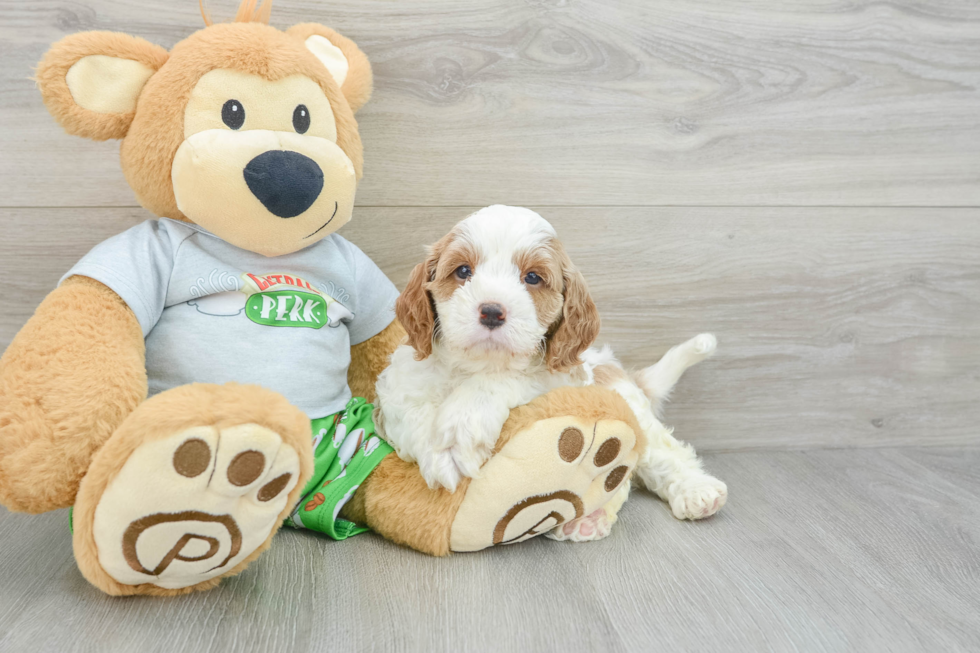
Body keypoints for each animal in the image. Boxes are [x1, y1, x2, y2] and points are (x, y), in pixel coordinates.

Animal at [376, 205, 728, 540]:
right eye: (463, 271)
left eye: (532, 278)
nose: (491, 311)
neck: (477, 364)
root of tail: (621, 372)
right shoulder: (398, 390)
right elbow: (411, 414)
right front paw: (441, 452)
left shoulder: (559, 378)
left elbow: (500, 381)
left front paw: (459, 434)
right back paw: (590, 519)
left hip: (630, 407)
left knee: (660, 456)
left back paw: (695, 490)